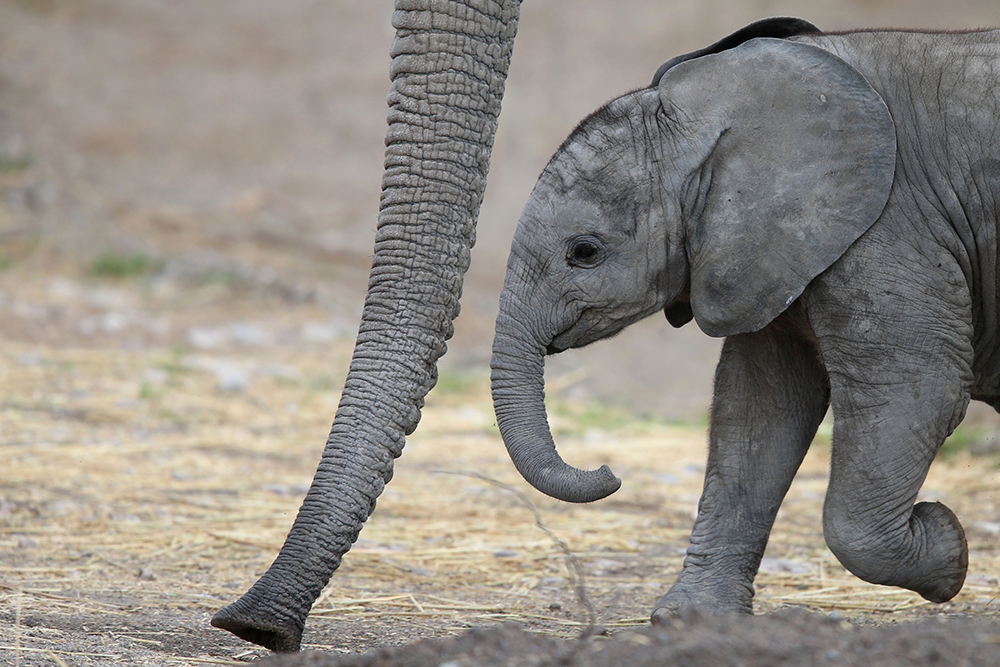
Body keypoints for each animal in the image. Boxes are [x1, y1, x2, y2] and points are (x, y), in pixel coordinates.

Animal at [490, 20, 1000, 621]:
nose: (609, 472)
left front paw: (947, 544)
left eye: (584, 252)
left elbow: (917, 385)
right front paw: (689, 621)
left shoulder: (893, 227)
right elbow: (759, 405)